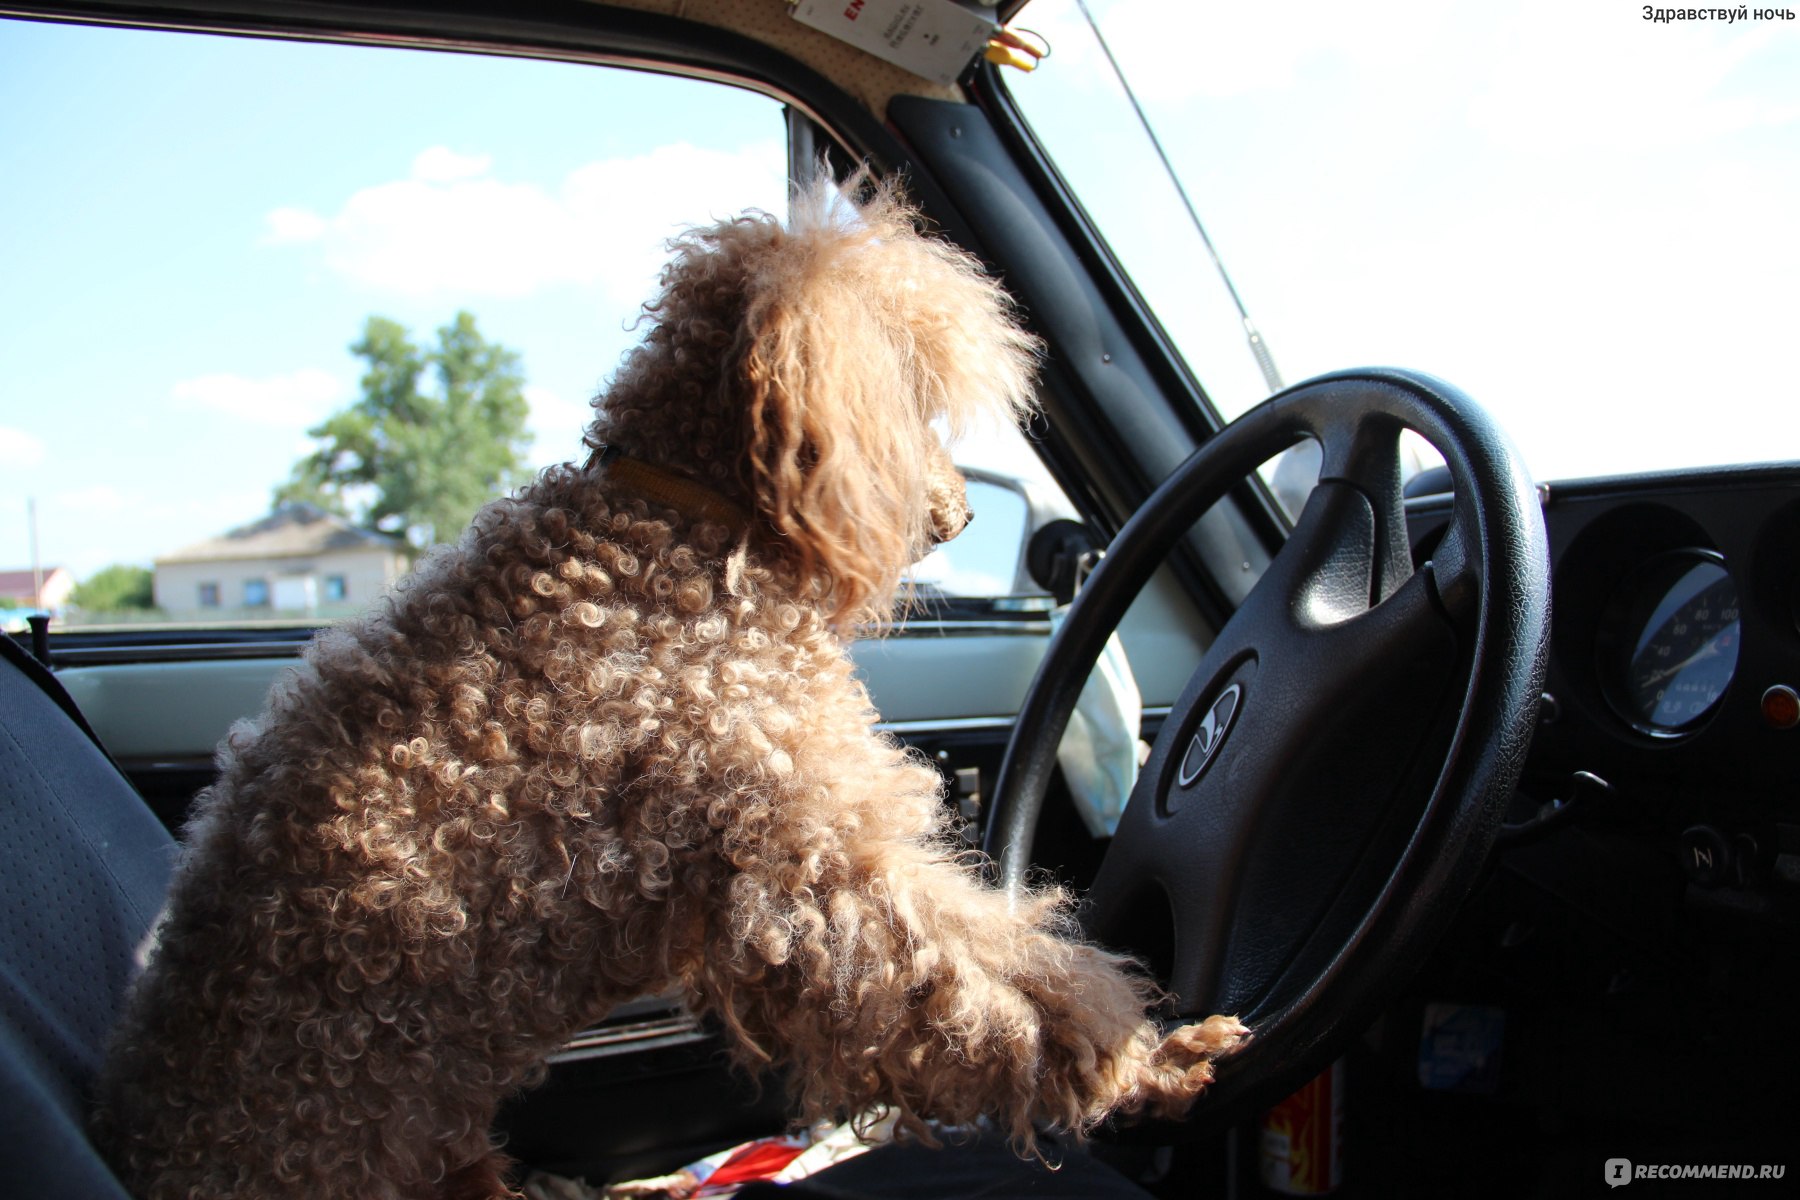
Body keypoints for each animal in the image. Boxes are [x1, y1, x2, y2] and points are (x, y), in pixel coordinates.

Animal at [94, 178, 1252, 1200]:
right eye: (917, 400)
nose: (963, 514)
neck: (681, 527)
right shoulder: (808, 853)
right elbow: (990, 986)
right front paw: (1140, 1064)